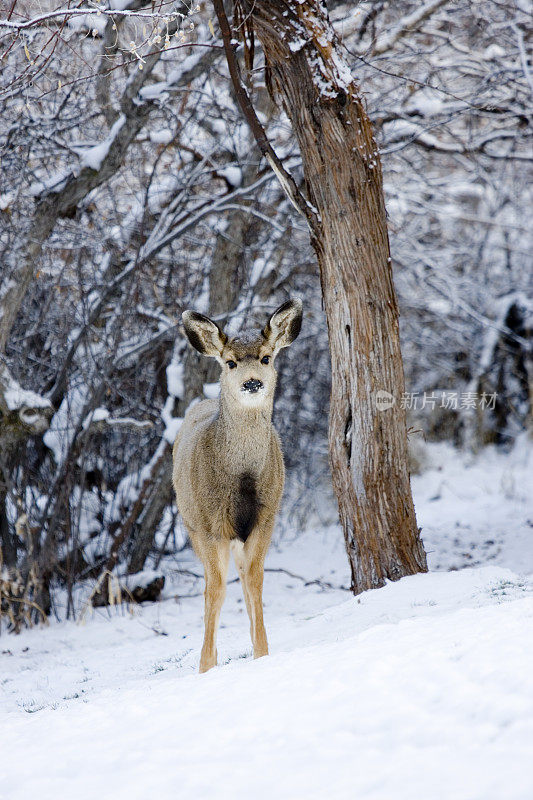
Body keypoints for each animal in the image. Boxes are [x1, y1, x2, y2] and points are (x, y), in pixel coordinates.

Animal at [172, 296, 302, 672]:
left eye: (266, 357)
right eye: (230, 362)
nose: (253, 383)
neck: (241, 478)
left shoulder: (266, 518)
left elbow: (254, 582)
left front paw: (262, 653)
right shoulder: (210, 525)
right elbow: (215, 590)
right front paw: (205, 666)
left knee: (241, 579)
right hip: (191, 524)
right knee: (209, 586)